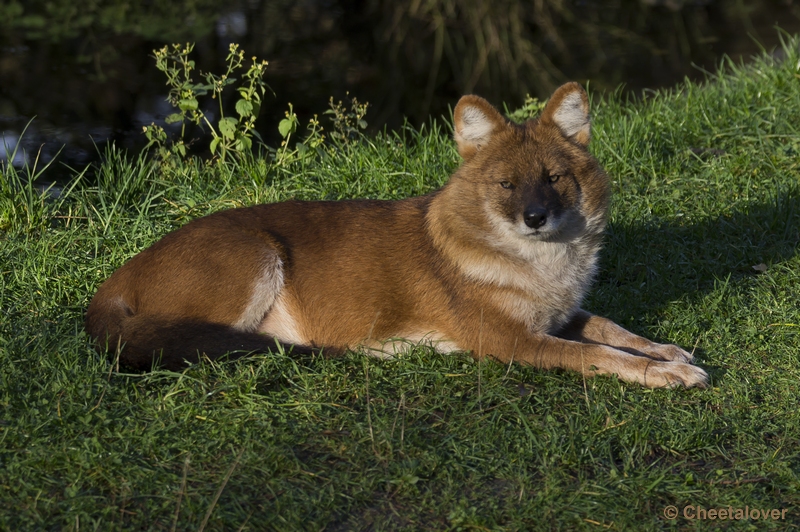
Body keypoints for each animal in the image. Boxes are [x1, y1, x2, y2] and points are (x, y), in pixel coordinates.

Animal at [87, 84, 708, 390]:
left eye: (554, 178)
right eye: (507, 184)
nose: (536, 217)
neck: (545, 264)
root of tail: (112, 282)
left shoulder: (556, 313)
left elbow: (610, 327)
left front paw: (666, 349)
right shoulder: (512, 341)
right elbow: (598, 354)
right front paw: (666, 373)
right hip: (252, 256)